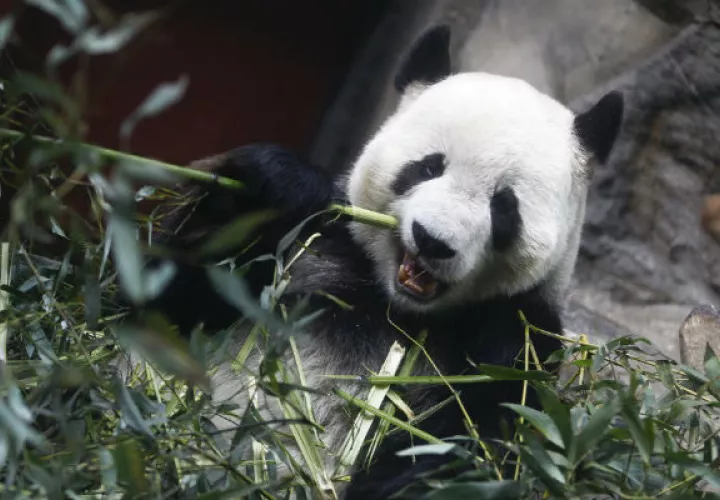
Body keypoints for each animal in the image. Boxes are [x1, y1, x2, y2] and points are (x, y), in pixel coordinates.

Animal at [138, 25, 623, 500]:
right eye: (428, 167)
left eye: (504, 206)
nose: (433, 241)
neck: (395, 305)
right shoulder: (325, 244)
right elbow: (164, 303)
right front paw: (277, 184)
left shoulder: (520, 335)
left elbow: (470, 444)